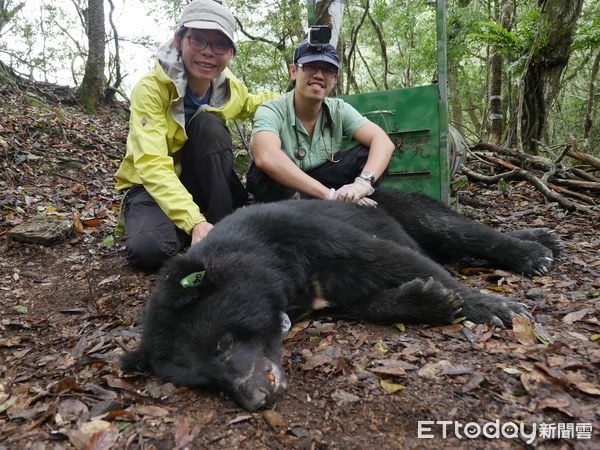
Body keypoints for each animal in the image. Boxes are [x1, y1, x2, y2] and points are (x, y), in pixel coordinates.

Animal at [123, 189, 564, 412]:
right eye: (205, 382)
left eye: (224, 342)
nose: (257, 399)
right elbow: (363, 299)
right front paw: (428, 298)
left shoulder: (306, 233)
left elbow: (387, 256)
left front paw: (492, 306)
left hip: (403, 208)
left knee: (456, 230)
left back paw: (536, 248)